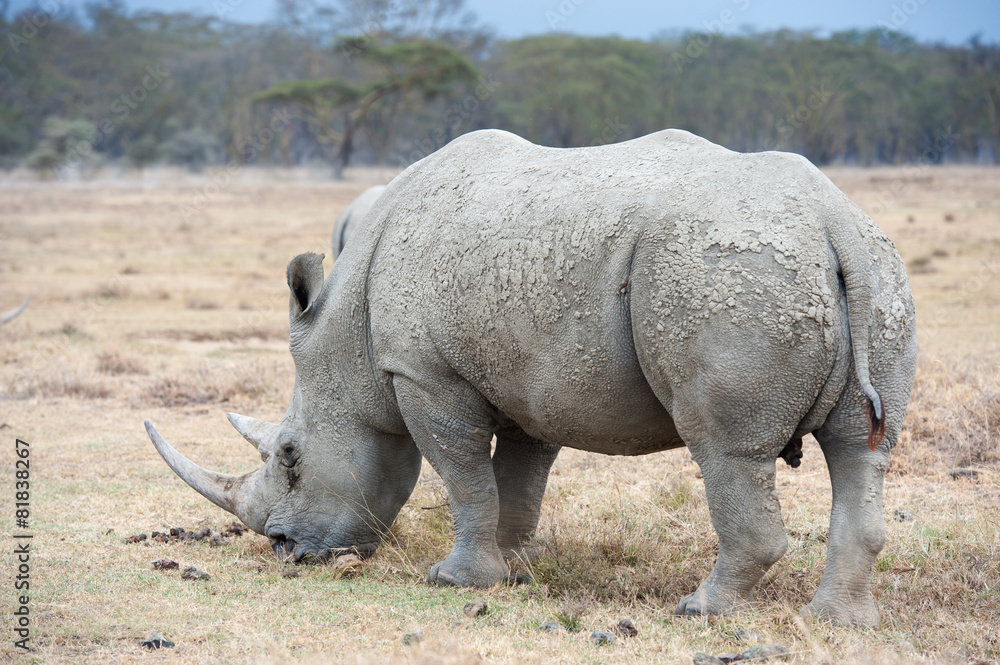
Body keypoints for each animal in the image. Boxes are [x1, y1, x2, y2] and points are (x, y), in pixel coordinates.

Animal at [146, 129, 917, 627]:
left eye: (289, 456)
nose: (285, 549)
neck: (347, 339)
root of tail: (829, 219)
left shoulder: (424, 374)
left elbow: (463, 477)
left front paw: (454, 580)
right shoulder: (530, 380)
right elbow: (517, 480)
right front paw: (512, 573)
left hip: (725, 273)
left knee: (726, 449)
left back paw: (701, 612)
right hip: (876, 268)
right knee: (861, 451)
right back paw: (839, 624)